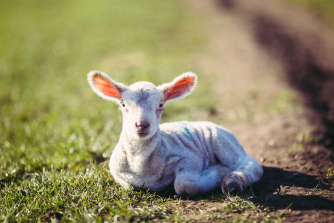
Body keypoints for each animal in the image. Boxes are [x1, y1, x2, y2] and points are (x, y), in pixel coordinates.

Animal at [88, 70, 264, 196]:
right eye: (123, 104)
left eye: (161, 105)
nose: (142, 124)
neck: (140, 165)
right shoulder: (115, 169)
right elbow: (127, 187)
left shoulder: (190, 158)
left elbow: (184, 184)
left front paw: (218, 172)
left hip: (222, 141)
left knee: (251, 164)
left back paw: (232, 182)